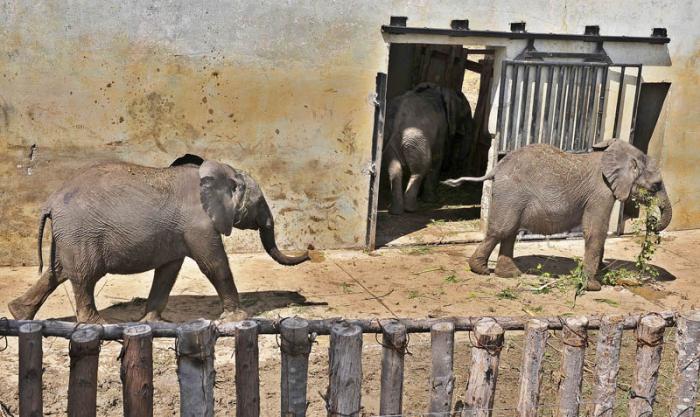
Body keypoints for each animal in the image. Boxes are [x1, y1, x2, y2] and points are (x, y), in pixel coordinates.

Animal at [8, 154, 310, 323]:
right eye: (259, 203)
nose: (310, 250)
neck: (222, 171)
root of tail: (50, 202)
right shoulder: (198, 223)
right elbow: (214, 264)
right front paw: (237, 319)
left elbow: (168, 271)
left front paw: (153, 321)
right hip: (81, 233)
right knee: (83, 276)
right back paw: (96, 325)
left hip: (70, 235)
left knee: (57, 271)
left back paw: (17, 314)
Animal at [383, 82, 473, 214]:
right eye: (465, 114)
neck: (439, 89)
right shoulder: (441, 127)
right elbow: (438, 156)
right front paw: (432, 200)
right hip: (416, 139)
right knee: (420, 169)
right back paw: (411, 209)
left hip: (393, 140)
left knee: (395, 169)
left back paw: (395, 211)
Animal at [441, 139, 672, 290]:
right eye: (656, 185)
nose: (651, 222)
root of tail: (495, 168)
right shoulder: (601, 193)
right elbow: (596, 231)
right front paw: (593, 286)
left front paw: (603, 271)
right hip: (511, 193)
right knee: (502, 229)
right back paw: (480, 270)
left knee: (510, 231)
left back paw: (509, 274)